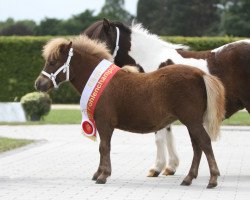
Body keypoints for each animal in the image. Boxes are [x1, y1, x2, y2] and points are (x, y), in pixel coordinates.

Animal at [34, 35, 225, 188]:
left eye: (53, 62)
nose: (39, 84)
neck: (100, 82)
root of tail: (199, 74)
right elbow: (102, 148)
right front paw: (98, 173)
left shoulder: (104, 123)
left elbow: (104, 147)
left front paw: (103, 175)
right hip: (191, 122)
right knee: (197, 147)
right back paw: (188, 178)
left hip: (192, 121)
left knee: (205, 143)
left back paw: (213, 180)